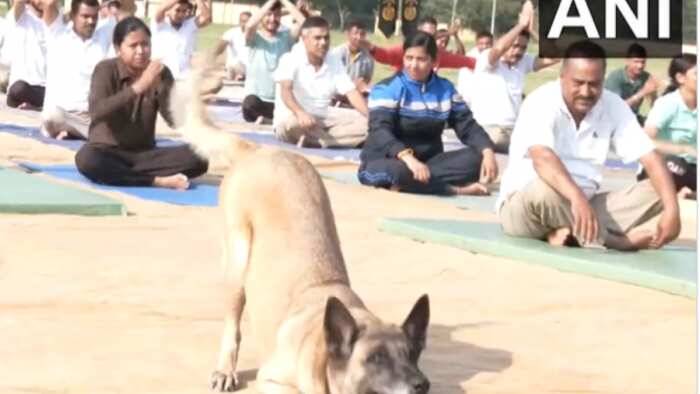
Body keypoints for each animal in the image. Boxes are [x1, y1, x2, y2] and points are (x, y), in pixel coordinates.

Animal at [172, 63, 430, 392]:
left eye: (412, 355)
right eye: (376, 359)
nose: (422, 384)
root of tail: (258, 149)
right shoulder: (272, 380)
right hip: (237, 263)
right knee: (232, 325)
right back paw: (225, 369)